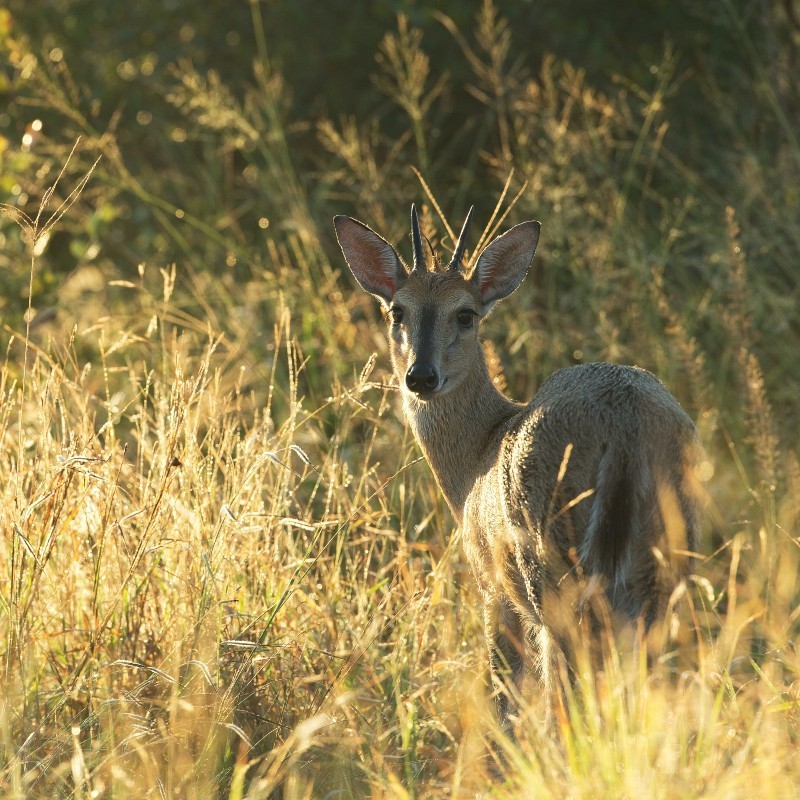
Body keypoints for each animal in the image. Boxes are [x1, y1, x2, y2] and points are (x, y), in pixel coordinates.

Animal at [332, 203, 700, 720]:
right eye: (396, 310)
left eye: (465, 314)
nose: (420, 376)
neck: (474, 461)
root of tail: (624, 430)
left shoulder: (491, 586)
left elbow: (503, 693)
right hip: (665, 565)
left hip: (549, 573)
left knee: (565, 692)